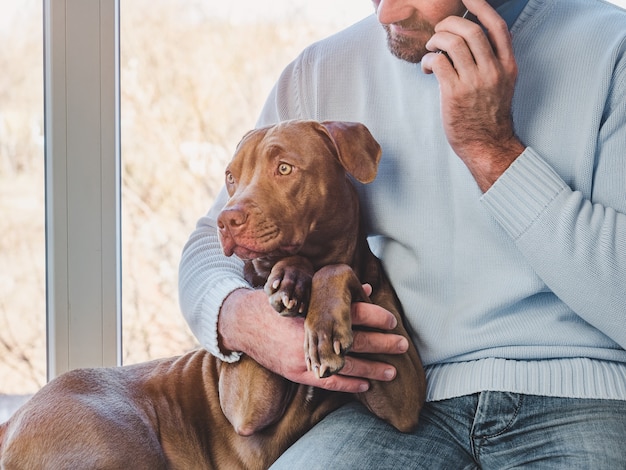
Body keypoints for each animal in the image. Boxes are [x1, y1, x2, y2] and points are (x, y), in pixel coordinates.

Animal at [0, 119, 424, 468]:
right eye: (231, 176)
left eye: (284, 168)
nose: (226, 218)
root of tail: (10, 422)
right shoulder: (247, 402)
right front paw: (291, 277)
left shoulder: (403, 392)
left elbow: (340, 271)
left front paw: (323, 322)